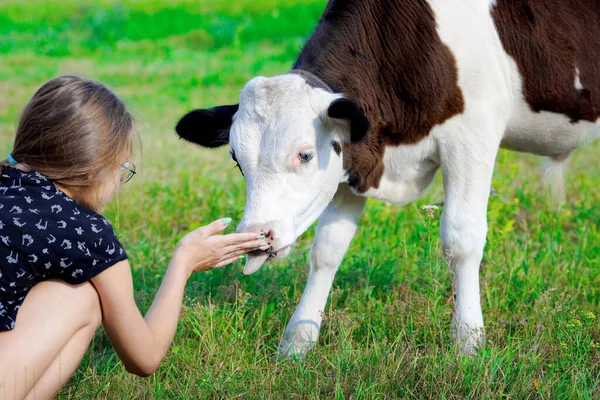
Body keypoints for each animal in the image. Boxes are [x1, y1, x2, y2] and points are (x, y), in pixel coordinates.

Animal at [175, 0, 600, 356]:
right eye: (236, 160)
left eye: (305, 154)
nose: (256, 236)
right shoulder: (356, 159)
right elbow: (328, 248)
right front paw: (298, 342)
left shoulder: (473, 133)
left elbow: (461, 239)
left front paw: (468, 343)